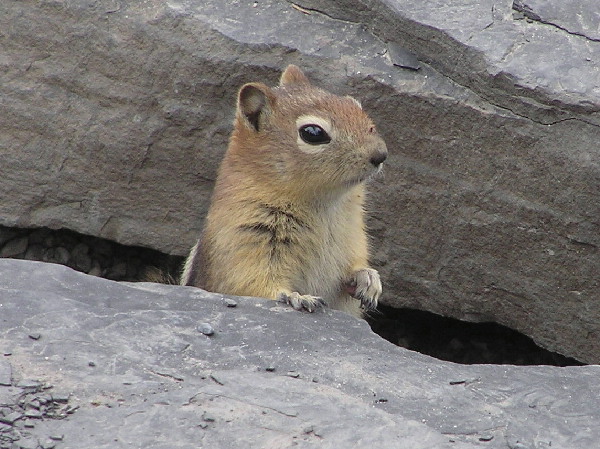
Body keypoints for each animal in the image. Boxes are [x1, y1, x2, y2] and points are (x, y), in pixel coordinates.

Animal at [182, 65, 390, 316]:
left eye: (356, 107)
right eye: (313, 133)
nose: (380, 154)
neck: (325, 204)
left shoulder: (354, 240)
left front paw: (367, 278)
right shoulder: (245, 241)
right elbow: (254, 284)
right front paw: (296, 297)